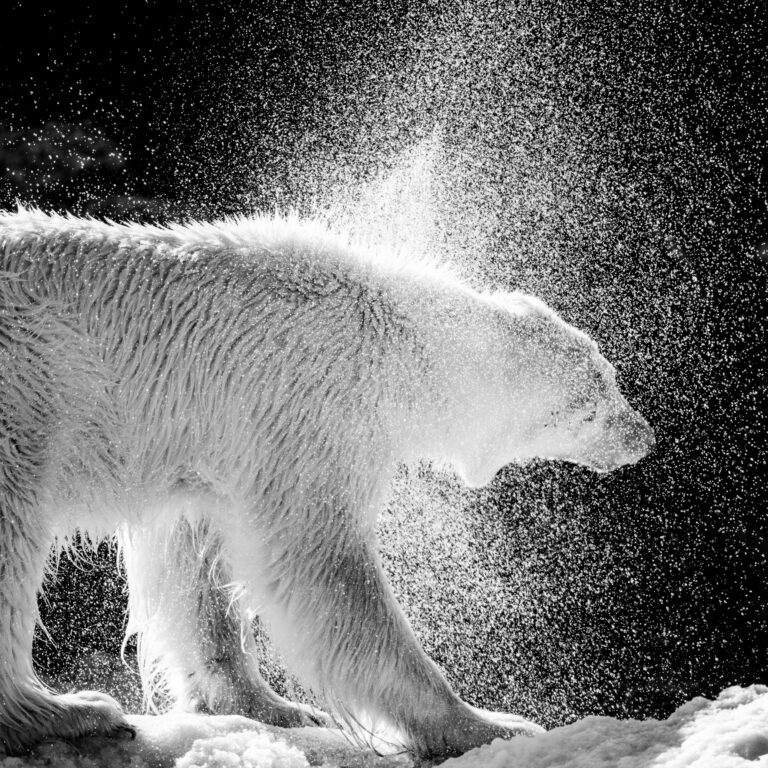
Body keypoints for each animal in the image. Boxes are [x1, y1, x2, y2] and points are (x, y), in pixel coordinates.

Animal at [0, 207, 656, 760]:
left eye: (610, 374)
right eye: (594, 406)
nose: (644, 437)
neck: (398, 337)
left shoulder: (206, 438)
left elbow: (194, 563)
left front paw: (272, 706)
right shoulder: (314, 405)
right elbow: (323, 565)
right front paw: (486, 724)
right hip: (26, 399)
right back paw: (67, 711)